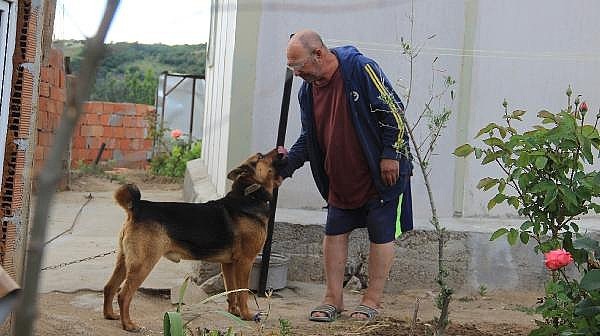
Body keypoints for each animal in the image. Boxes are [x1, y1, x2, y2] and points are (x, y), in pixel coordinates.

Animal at [102, 149, 284, 330]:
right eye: (260, 157)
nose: (280, 150)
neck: (250, 196)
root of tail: (137, 207)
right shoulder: (245, 262)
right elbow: (243, 292)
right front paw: (246, 315)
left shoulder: (228, 264)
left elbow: (231, 292)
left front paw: (234, 313)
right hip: (143, 263)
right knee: (124, 294)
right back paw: (128, 324)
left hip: (124, 261)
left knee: (110, 287)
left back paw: (110, 314)